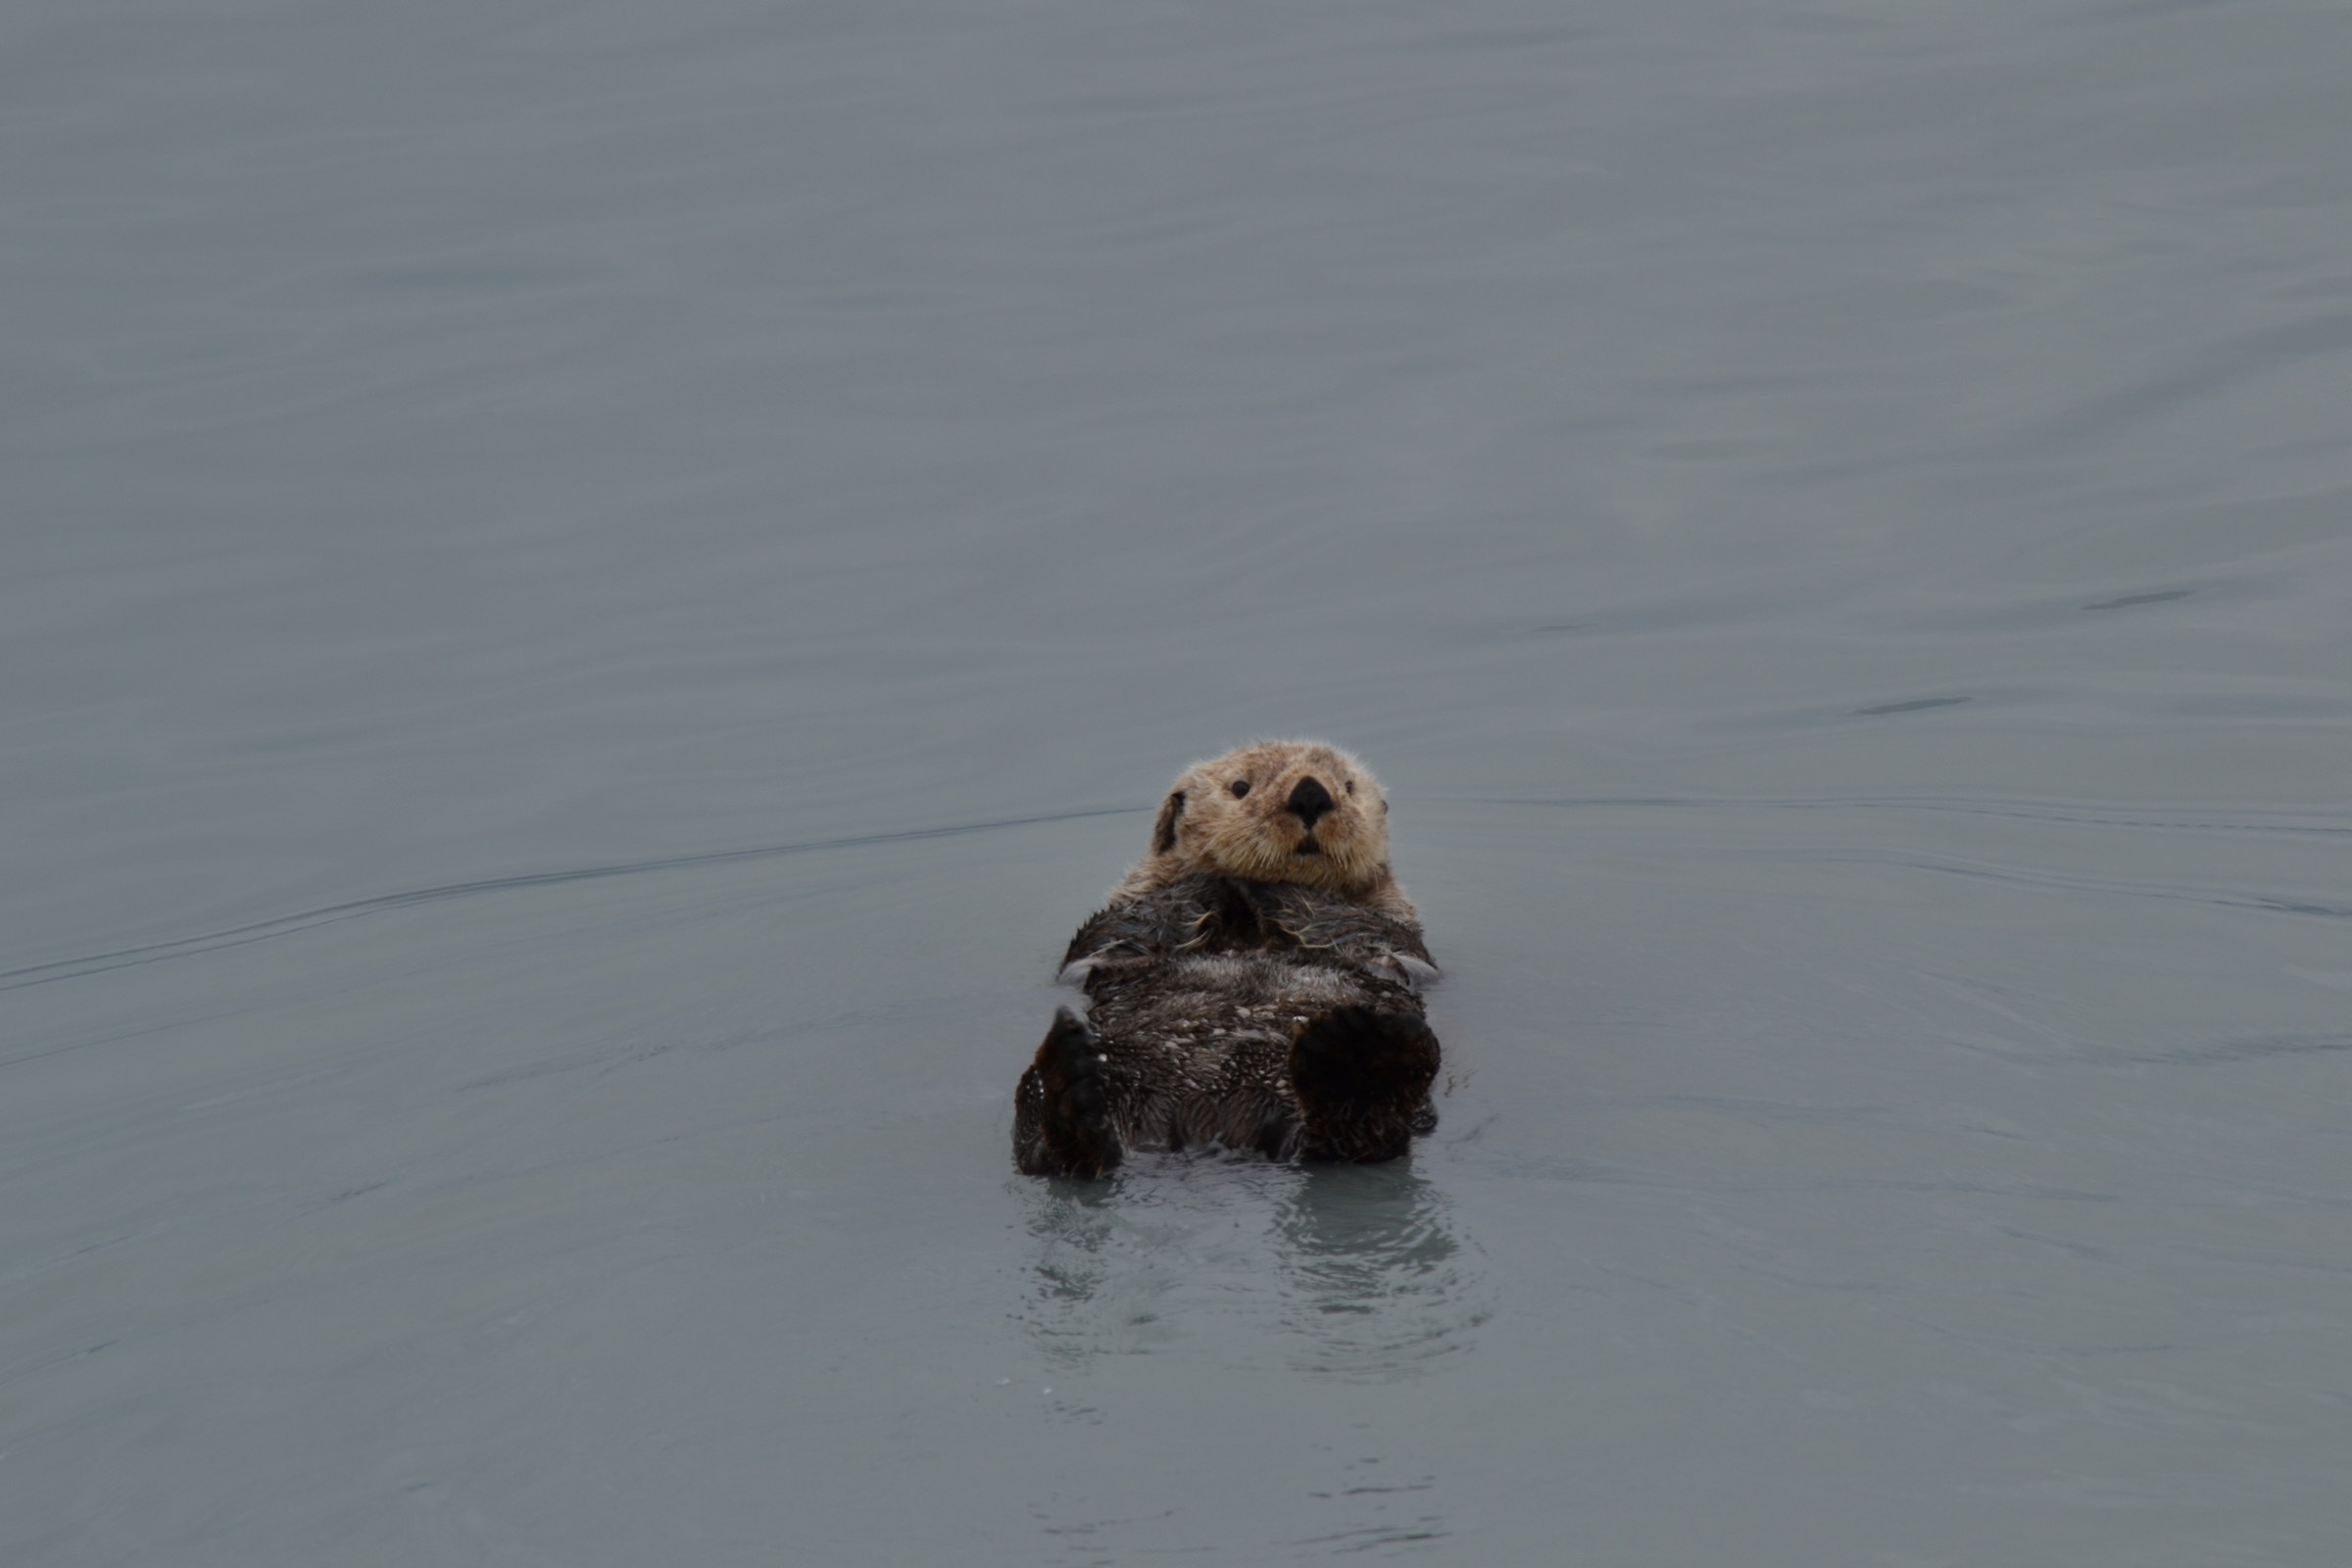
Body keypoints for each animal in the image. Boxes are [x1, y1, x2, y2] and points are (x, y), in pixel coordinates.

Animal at [1013, 741, 1442, 1178]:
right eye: (1240, 787)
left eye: (1349, 786)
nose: (1310, 793)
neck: (1245, 927)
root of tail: (1209, 1124)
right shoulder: (1115, 929)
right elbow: (1121, 931)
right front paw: (1213, 877)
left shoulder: (1392, 929)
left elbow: (1364, 929)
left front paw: (1260, 883)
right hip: (1090, 1078)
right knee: (1043, 1143)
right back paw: (1073, 1091)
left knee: (1358, 1141)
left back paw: (1355, 1059)